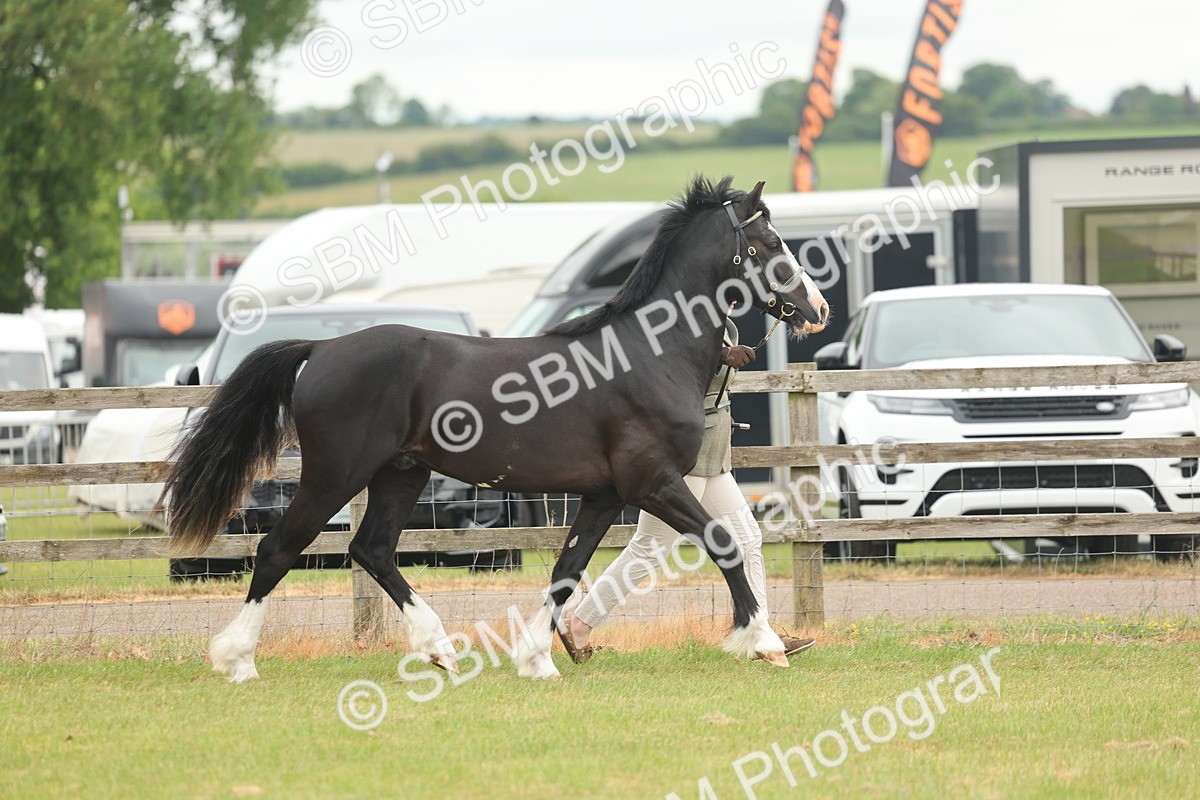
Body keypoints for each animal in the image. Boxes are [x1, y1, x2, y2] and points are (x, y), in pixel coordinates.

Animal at [159, 176, 831, 682]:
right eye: (769, 241)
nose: (818, 308)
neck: (648, 353)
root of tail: (320, 349)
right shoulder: (653, 484)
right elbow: (723, 543)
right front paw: (766, 641)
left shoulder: (604, 495)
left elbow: (565, 572)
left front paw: (538, 660)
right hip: (335, 474)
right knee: (278, 548)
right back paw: (239, 661)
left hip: (401, 473)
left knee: (371, 549)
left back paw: (439, 648)